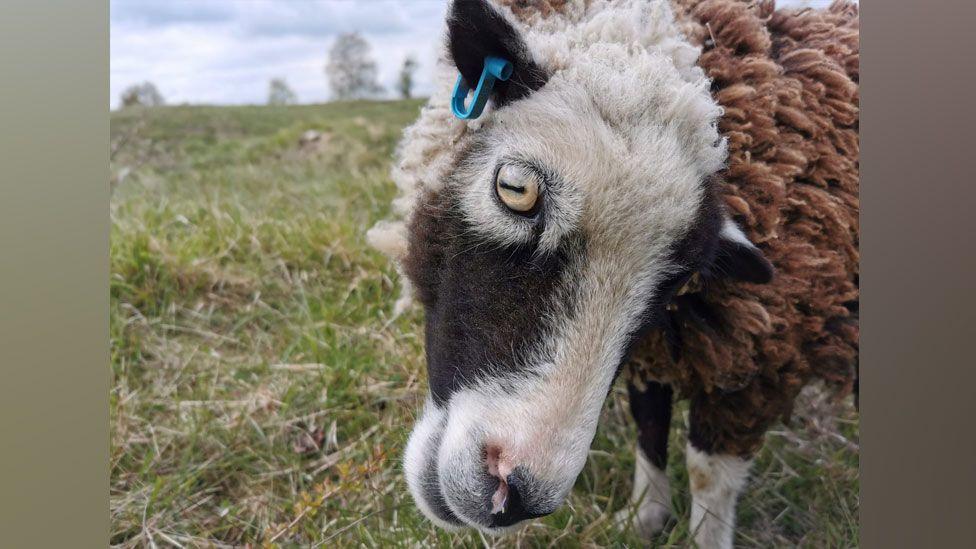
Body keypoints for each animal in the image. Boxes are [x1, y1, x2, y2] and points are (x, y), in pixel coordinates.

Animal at [368, 1, 860, 544]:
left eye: (678, 280)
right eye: (515, 189)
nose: (513, 496)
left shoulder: (765, 354)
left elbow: (707, 471)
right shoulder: (659, 349)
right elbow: (649, 423)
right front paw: (644, 517)